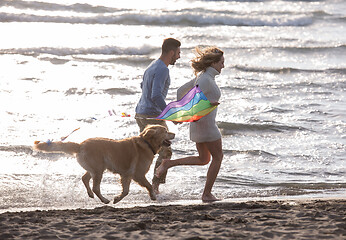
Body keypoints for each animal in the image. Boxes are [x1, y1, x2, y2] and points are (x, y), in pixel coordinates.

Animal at [33, 124, 174, 204]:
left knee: (84, 178)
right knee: (95, 187)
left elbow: (126, 191)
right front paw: (153, 196)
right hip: (98, 170)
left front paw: (117, 199)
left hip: (95, 169)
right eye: (165, 131)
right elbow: (149, 185)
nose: (174, 133)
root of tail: (81, 145)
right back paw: (104, 199)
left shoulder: (126, 175)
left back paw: (91, 194)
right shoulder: (137, 174)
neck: (146, 143)